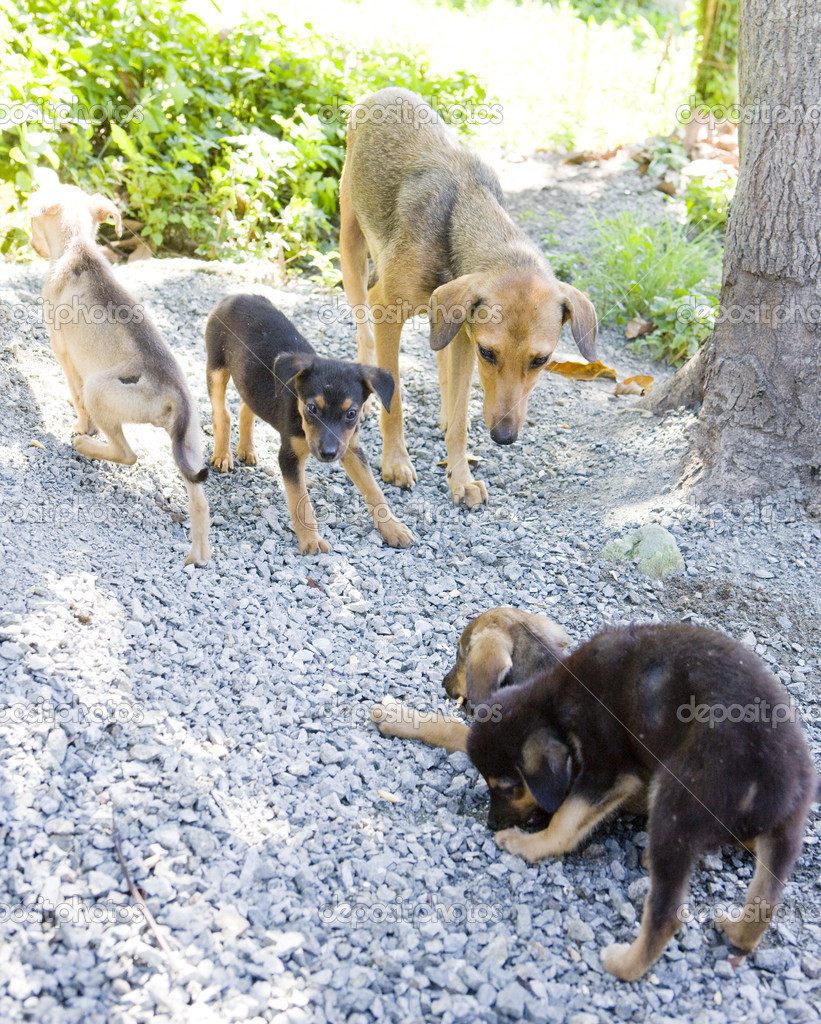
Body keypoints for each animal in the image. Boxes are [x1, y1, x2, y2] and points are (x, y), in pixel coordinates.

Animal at [29, 185, 210, 569]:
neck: (77, 247)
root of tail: (174, 395)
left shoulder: (63, 353)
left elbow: (76, 396)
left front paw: (82, 428)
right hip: (189, 445)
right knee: (199, 500)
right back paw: (197, 556)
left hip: (100, 390)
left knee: (128, 453)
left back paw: (85, 445)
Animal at [204, 292, 409, 557]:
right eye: (312, 409)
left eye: (352, 413)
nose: (328, 454)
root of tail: (235, 296)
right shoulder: (289, 456)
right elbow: (301, 503)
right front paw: (311, 540)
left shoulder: (351, 448)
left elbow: (375, 490)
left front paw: (393, 528)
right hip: (216, 368)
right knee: (222, 414)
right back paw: (222, 455)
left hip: (249, 380)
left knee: (246, 407)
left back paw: (247, 449)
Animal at [374, 618, 814, 978]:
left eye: (461, 656)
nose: (445, 684)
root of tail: (786, 782)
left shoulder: (610, 774)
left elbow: (560, 815)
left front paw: (399, 716)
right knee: (764, 901)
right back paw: (736, 928)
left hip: (675, 798)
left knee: (667, 913)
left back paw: (623, 961)